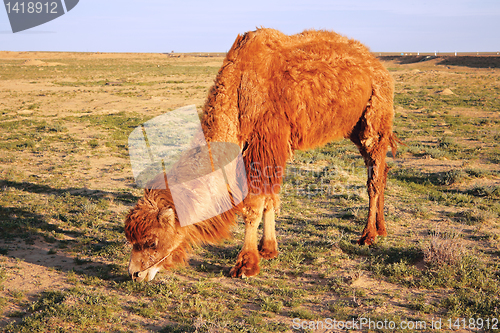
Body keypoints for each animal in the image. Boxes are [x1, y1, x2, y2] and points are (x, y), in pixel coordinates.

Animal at [126, 27, 398, 280]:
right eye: (131, 239)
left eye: (151, 241)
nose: (135, 273)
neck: (238, 90)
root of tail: (380, 67)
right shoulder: (267, 148)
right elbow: (269, 199)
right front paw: (268, 249)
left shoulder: (265, 142)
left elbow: (254, 205)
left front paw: (246, 264)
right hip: (356, 126)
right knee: (381, 170)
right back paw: (382, 228)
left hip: (375, 117)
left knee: (374, 178)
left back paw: (368, 235)